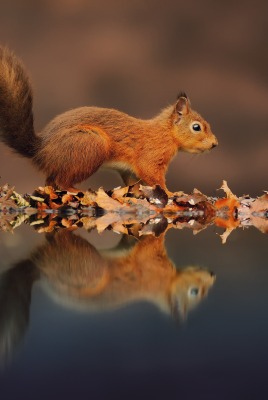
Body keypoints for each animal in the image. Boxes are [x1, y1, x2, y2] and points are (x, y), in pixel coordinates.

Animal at [0, 45, 218, 192]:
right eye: (197, 127)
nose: (215, 144)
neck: (166, 133)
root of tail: (41, 151)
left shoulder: (130, 171)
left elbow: (134, 182)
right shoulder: (151, 156)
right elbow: (153, 177)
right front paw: (171, 194)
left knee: (51, 182)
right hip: (89, 145)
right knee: (61, 181)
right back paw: (75, 191)